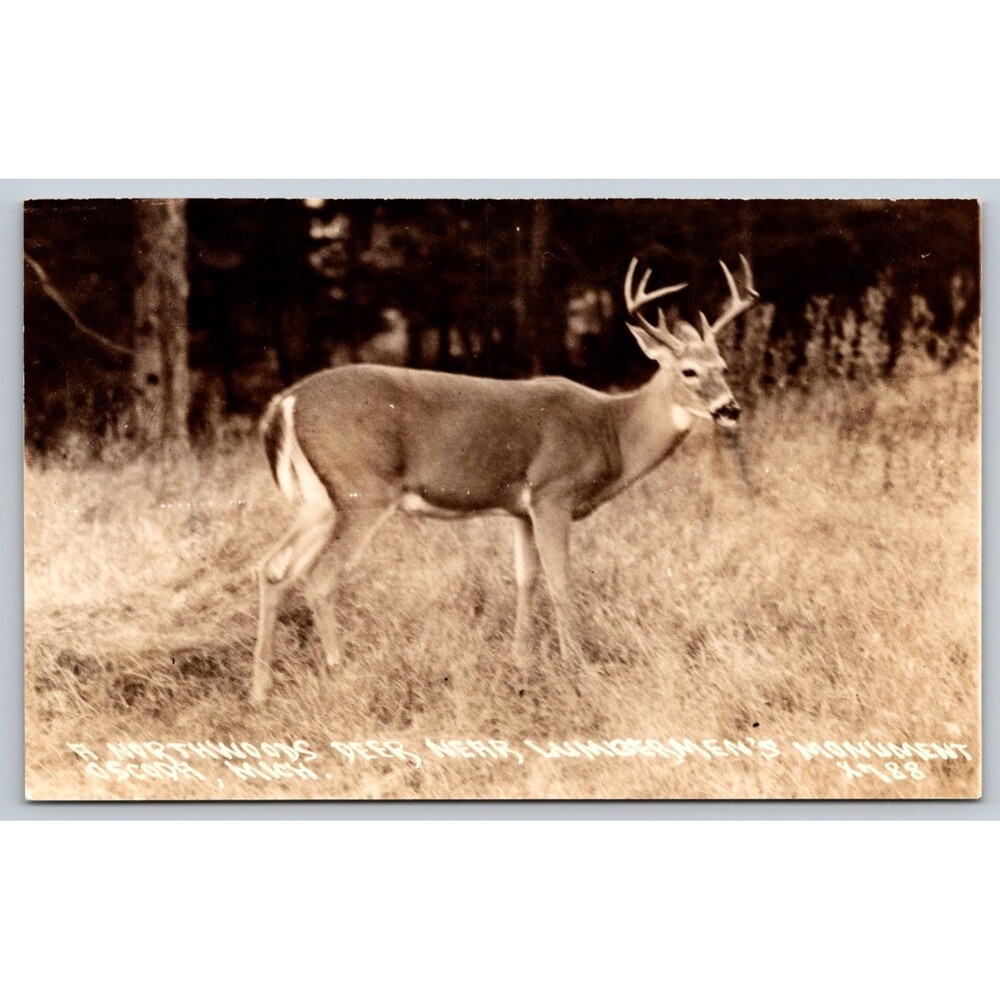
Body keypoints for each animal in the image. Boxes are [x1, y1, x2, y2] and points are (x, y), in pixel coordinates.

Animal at [249, 255, 758, 704]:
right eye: (689, 371)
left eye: (724, 367)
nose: (730, 408)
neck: (611, 431)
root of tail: (285, 402)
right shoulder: (554, 492)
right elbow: (561, 581)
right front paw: (576, 665)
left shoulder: (520, 509)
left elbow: (525, 579)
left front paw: (520, 661)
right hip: (363, 490)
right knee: (319, 577)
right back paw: (339, 671)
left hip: (318, 500)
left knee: (274, 567)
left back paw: (261, 689)